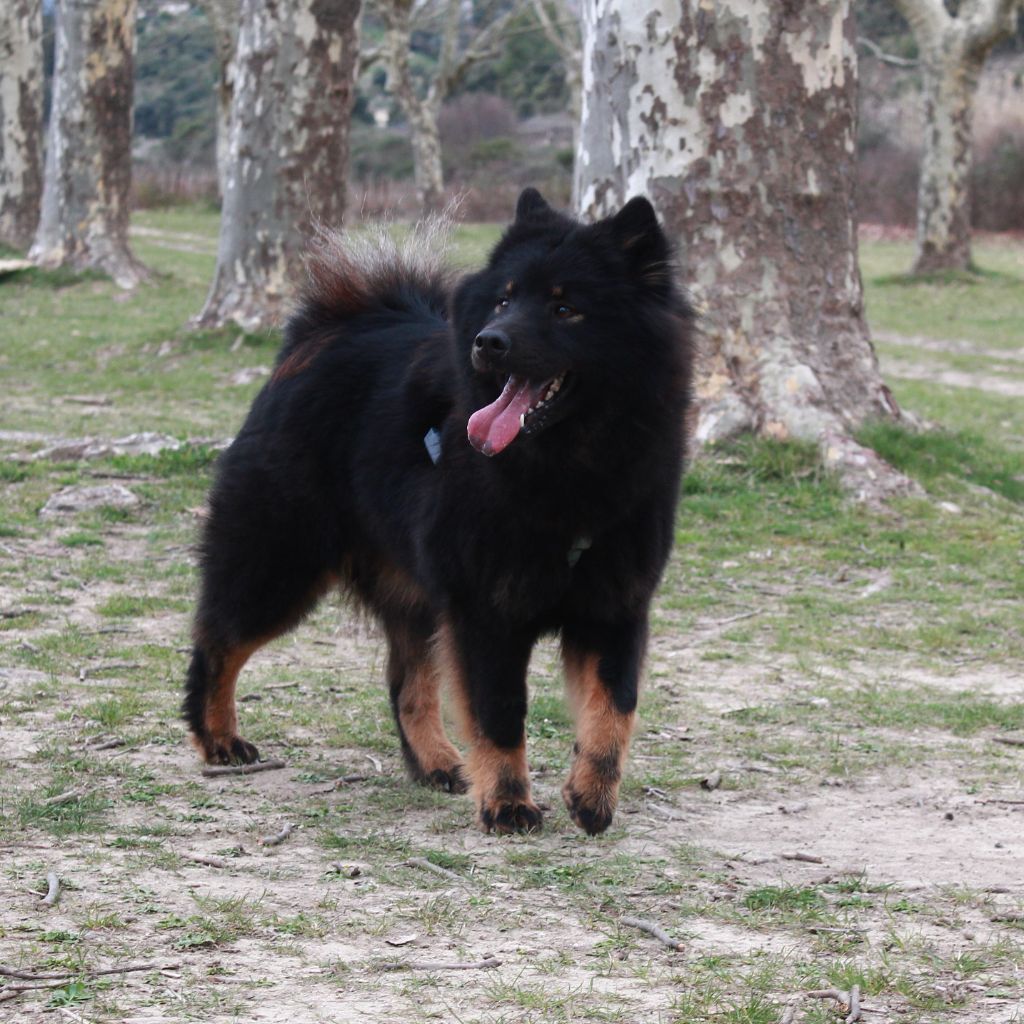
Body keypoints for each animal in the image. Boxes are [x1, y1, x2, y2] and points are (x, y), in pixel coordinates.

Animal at [184, 190, 696, 831]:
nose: (489, 341)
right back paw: (218, 738)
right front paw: (508, 803)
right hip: (281, 566)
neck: (566, 472)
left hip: (414, 595)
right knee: (216, 642)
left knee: (405, 684)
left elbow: (614, 707)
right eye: (504, 299)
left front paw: (592, 797)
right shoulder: (485, 611)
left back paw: (436, 763)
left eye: (565, 308)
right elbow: (500, 714)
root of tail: (328, 331)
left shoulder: (614, 606)